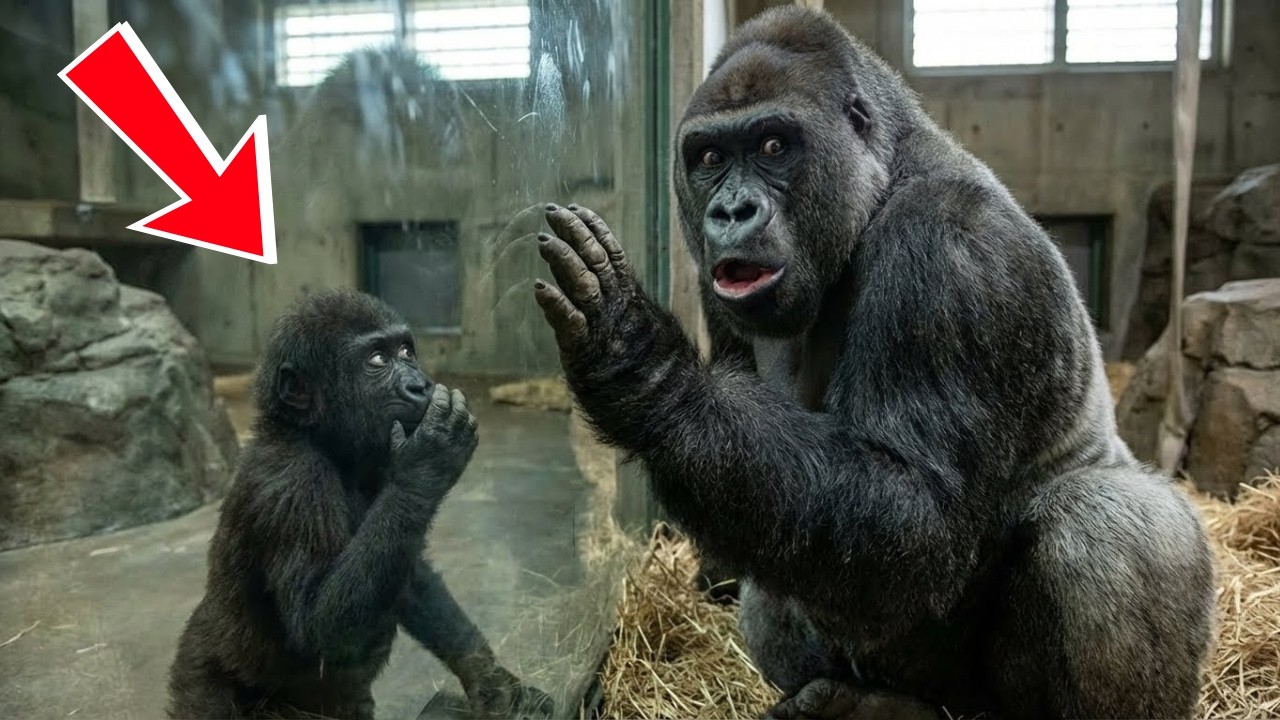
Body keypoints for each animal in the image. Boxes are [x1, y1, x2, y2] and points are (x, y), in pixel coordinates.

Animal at [166, 289, 554, 720]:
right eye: (378, 360)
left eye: (406, 350)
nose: (419, 385)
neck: (318, 439)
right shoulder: (290, 482)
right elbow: (317, 625)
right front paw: (430, 459)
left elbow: (409, 572)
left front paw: (489, 680)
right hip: (203, 687)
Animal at [527, 7, 1215, 719]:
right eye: (710, 158)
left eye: (773, 146)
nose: (731, 210)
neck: (881, 182)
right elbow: (725, 459)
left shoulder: (952, 247)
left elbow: (916, 514)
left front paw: (641, 365)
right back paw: (862, 703)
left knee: (1105, 521)